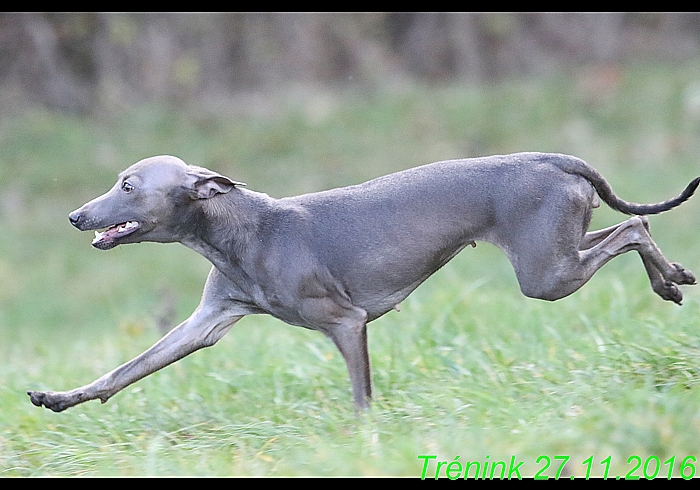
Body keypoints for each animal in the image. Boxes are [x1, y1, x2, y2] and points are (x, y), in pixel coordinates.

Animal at [26, 151, 696, 412]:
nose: (76, 216)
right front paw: (59, 397)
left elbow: (360, 398)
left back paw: (669, 282)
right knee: (630, 226)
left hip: (546, 273)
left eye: (128, 185)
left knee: (634, 227)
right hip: (555, 248)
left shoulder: (346, 323)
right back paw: (672, 278)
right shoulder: (205, 325)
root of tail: (554, 158)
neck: (240, 229)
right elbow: (126, 369)